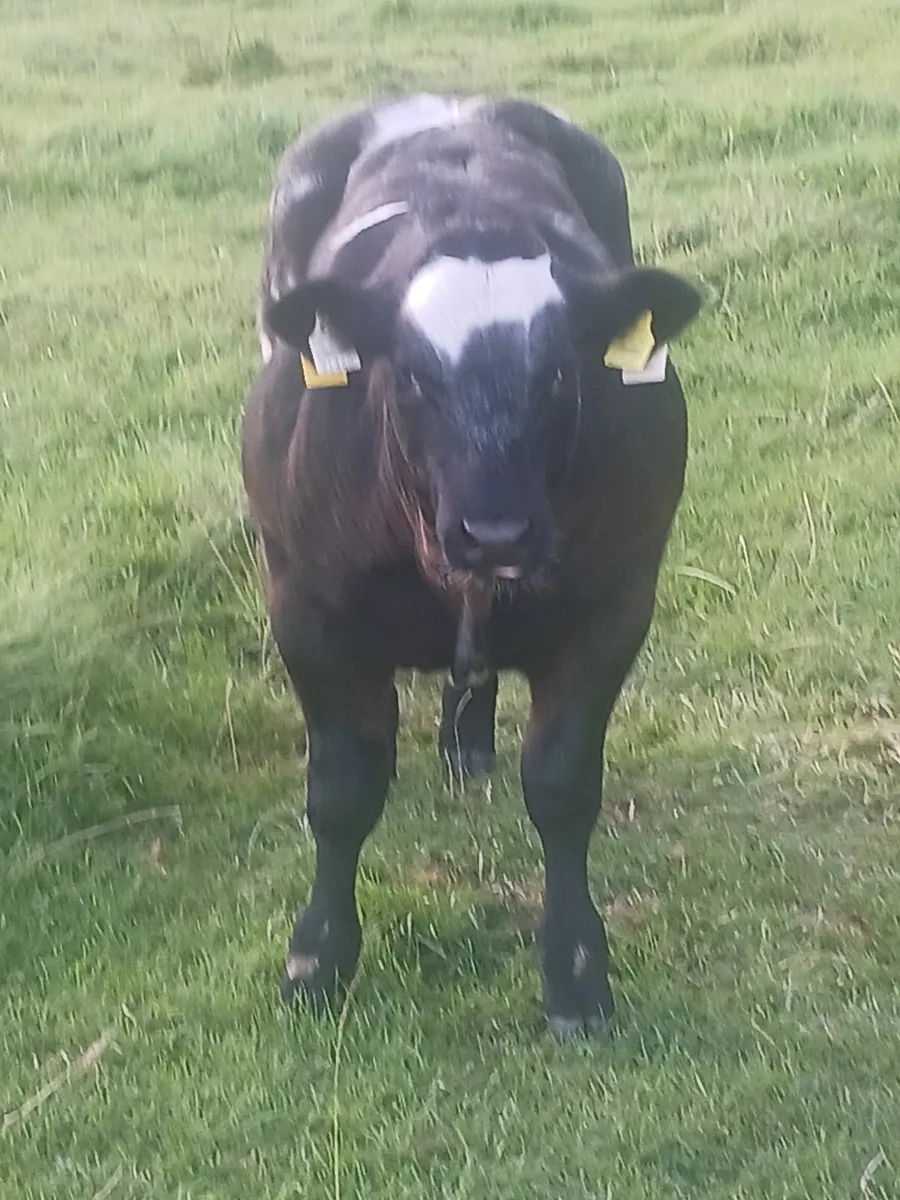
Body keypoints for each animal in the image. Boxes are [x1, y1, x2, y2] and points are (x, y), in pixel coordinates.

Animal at [241, 93, 703, 1040]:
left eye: (560, 374)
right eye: (412, 376)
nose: (495, 531)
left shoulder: (616, 601)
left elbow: (563, 787)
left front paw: (577, 976)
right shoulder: (305, 605)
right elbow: (342, 789)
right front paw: (318, 960)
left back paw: (469, 743)